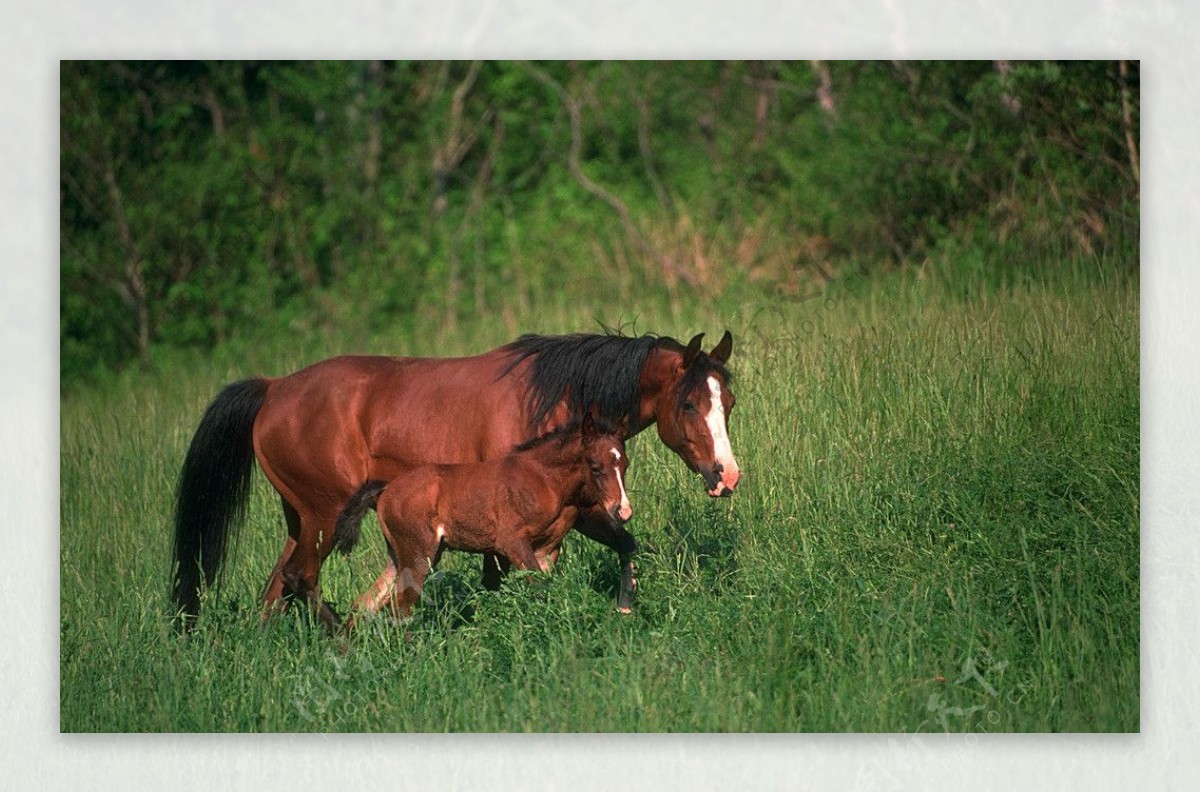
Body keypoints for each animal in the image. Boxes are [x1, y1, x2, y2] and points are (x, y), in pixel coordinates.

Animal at [328, 410, 628, 628]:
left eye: (624, 464)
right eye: (595, 467)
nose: (622, 510)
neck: (543, 479)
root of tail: (386, 490)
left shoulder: (547, 550)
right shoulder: (511, 543)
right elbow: (537, 589)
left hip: (399, 556)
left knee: (363, 603)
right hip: (419, 556)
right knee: (401, 608)